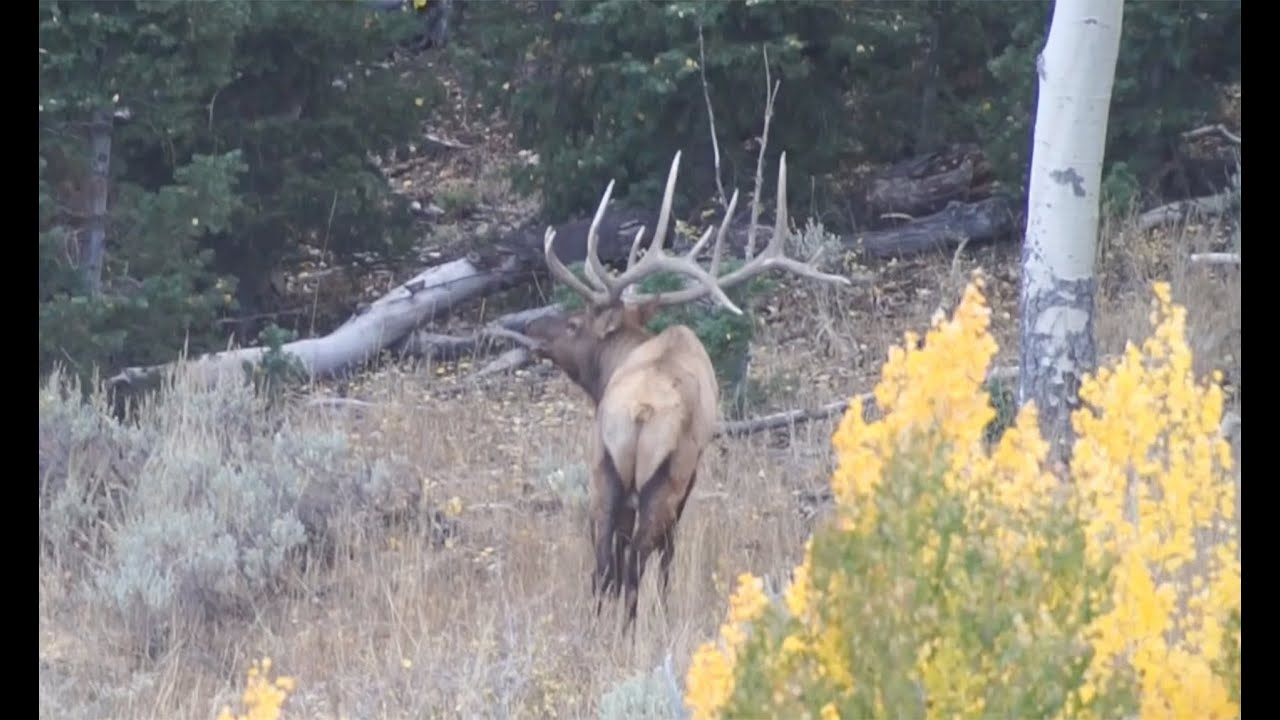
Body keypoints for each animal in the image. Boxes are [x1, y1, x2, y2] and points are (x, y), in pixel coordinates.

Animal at [522, 149, 850, 631]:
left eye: (573, 324)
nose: (531, 327)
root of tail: (639, 412)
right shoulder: (690, 470)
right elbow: (664, 552)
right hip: (659, 474)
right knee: (635, 557)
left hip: (609, 466)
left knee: (608, 559)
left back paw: (606, 628)